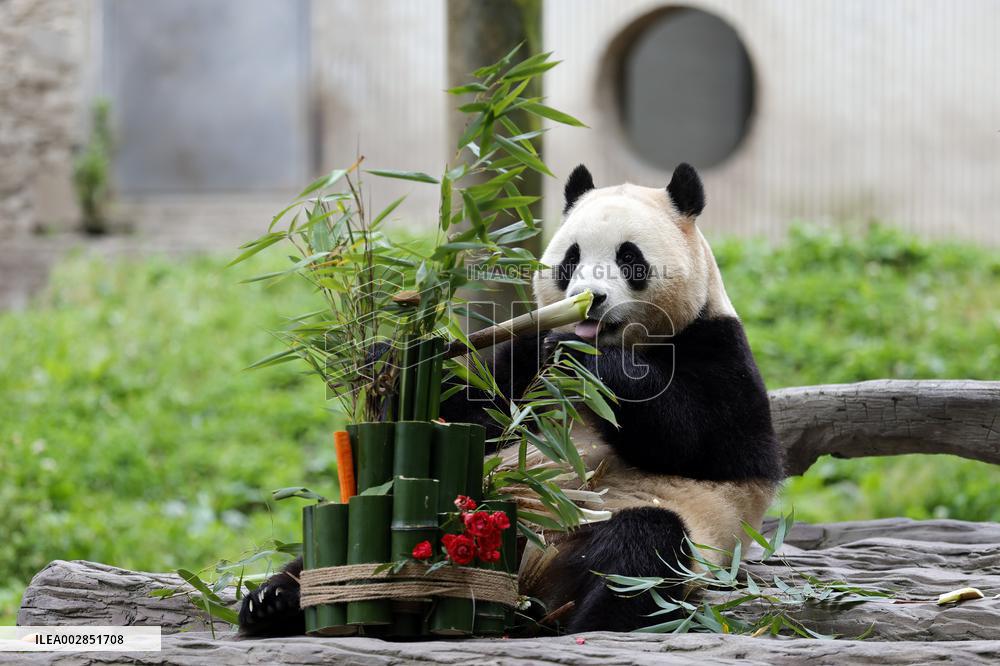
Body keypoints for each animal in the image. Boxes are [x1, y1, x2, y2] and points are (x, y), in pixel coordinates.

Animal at [239, 162, 784, 636]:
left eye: (630, 258)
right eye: (571, 259)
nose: (590, 299)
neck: (620, 341)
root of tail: (527, 580)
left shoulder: (716, 346)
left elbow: (706, 442)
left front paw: (586, 363)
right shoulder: (523, 360)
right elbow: (474, 418)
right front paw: (388, 364)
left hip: (630, 536)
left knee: (643, 555)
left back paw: (588, 622)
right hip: (468, 506)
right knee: (352, 535)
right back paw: (274, 601)